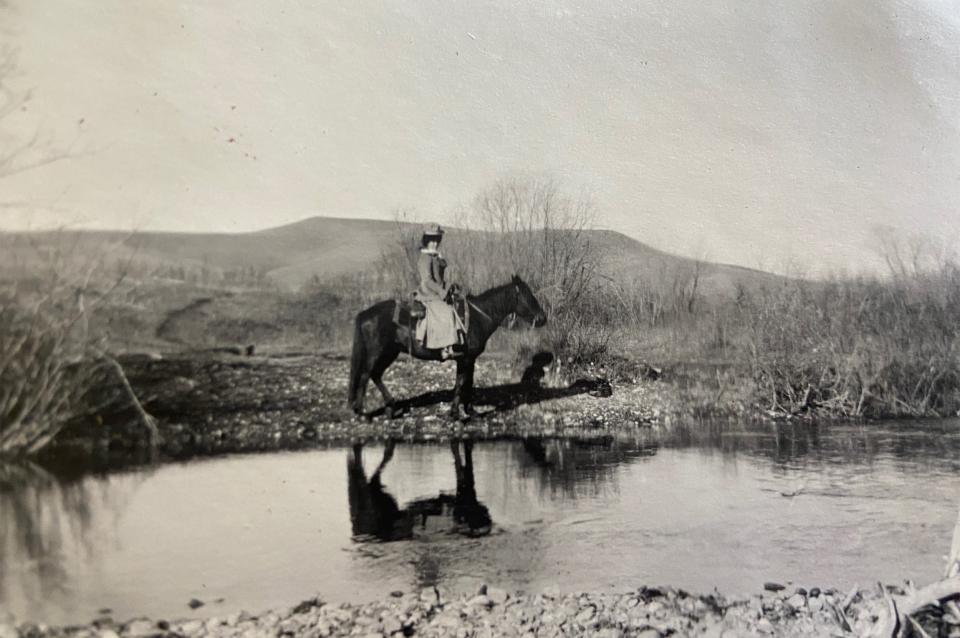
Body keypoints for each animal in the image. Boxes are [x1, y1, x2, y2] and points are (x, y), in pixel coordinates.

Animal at [346, 274, 544, 420]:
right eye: (528, 295)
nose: (543, 318)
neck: (478, 317)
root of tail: (365, 313)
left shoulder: (468, 360)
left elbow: (466, 383)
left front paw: (468, 411)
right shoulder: (466, 359)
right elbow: (462, 384)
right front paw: (457, 413)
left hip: (389, 353)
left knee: (375, 375)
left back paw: (390, 408)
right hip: (377, 352)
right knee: (365, 376)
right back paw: (363, 413)